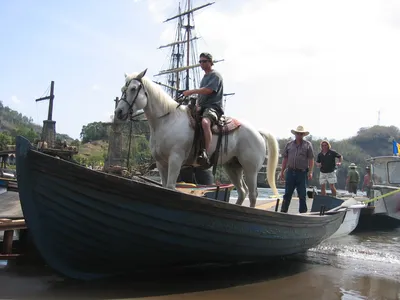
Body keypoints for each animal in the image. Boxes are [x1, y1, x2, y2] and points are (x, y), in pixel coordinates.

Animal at [114, 69, 280, 207]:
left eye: (133, 89)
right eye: (123, 89)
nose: (119, 112)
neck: (167, 120)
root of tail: (257, 132)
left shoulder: (176, 159)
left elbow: (170, 187)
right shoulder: (161, 163)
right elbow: (164, 185)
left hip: (250, 169)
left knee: (253, 194)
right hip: (233, 167)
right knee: (242, 192)